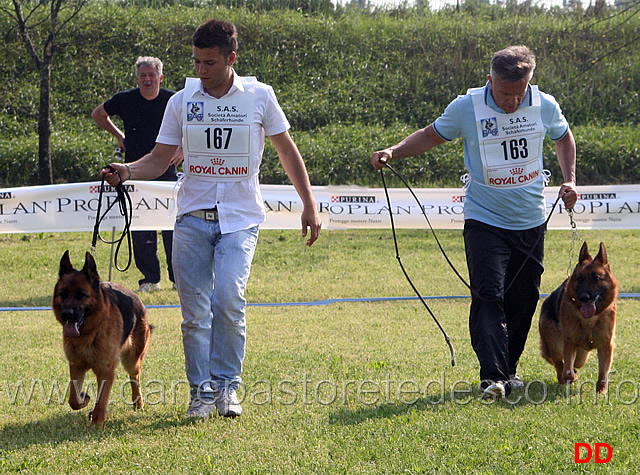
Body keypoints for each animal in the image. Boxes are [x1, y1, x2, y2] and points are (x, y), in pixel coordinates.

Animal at [52, 251, 152, 430]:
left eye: (81, 295)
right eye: (63, 294)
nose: (67, 314)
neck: (89, 332)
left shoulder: (106, 370)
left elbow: (101, 400)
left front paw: (96, 423)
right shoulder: (76, 366)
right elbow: (73, 399)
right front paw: (84, 399)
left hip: (132, 360)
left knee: (135, 377)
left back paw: (138, 403)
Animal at [536, 242, 616, 394]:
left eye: (596, 278)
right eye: (579, 278)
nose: (584, 297)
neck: (589, 321)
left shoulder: (606, 345)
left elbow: (603, 372)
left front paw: (601, 392)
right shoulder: (569, 343)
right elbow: (567, 371)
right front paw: (570, 378)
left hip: (581, 355)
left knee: (576, 363)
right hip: (555, 344)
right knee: (559, 363)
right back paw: (563, 378)